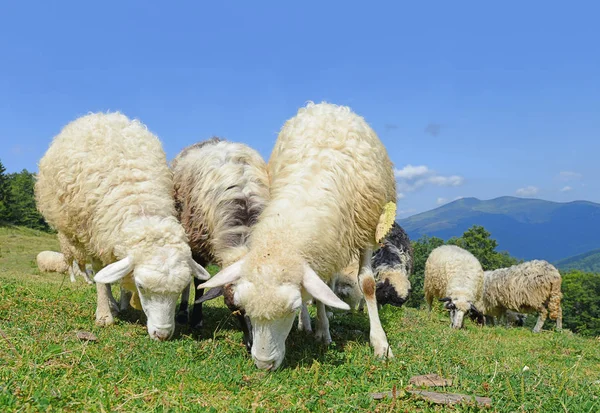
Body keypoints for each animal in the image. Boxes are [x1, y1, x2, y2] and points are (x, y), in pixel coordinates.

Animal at [35, 111, 210, 340]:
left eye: (180, 289)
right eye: (142, 287)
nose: (162, 335)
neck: (139, 204)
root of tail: (101, 115)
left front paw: (126, 301)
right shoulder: (96, 238)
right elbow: (101, 277)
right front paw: (104, 314)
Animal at [170, 136, 270, 350]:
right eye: (232, 308)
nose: (251, 345)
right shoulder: (198, 243)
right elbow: (200, 282)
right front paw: (196, 320)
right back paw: (182, 313)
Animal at [197, 100, 400, 370]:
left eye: (290, 309)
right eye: (244, 307)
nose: (264, 364)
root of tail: (323, 105)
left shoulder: (366, 229)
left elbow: (366, 284)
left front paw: (380, 344)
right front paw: (321, 330)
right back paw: (309, 324)